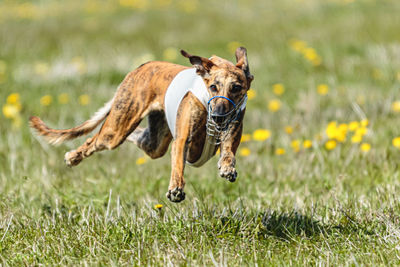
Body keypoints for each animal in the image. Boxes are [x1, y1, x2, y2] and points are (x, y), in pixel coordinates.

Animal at [28, 47, 253, 203]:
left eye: (236, 88)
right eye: (213, 86)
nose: (218, 116)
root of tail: (141, 66)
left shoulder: (231, 129)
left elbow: (228, 151)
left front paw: (227, 167)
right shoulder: (183, 139)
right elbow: (178, 163)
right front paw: (175, 189)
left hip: (154, 142)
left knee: (138, 135)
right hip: (116, 129)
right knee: (95, 138)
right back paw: (72, 157)